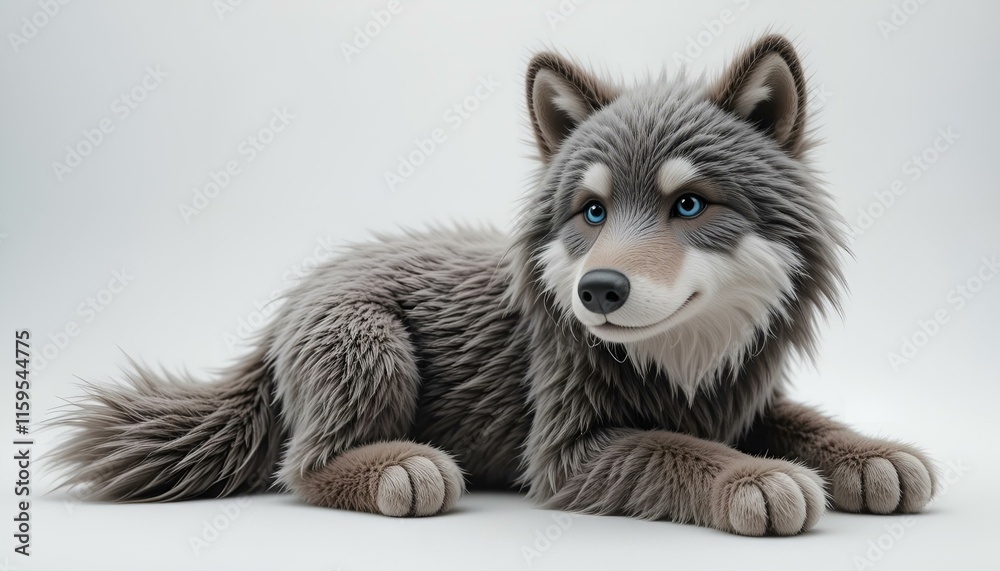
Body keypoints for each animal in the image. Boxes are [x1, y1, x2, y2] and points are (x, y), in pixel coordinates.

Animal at [54, 35, 936, 536]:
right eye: (591, 211)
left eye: (689, 204)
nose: (599, 291)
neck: (681, 359)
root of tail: (285, 312)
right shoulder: (569, 450)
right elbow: (674, 448)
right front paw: (752, 477)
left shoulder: (742, 395)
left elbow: (801, 419)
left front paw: (873, 454)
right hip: (369, 341)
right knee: (302, 468)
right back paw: (403, 468)